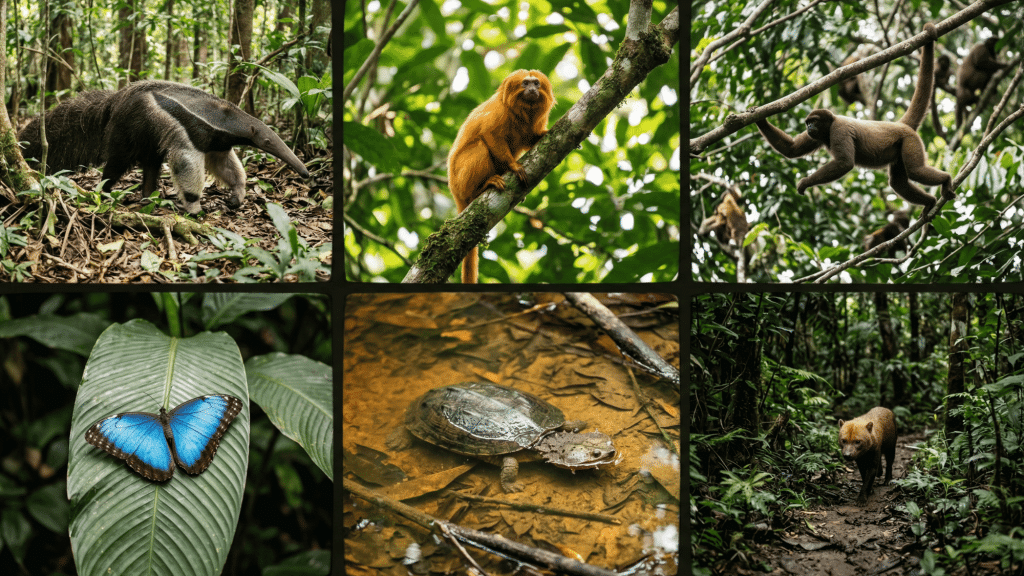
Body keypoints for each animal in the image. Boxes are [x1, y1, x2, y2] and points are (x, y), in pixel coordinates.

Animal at [447, 69, 554, 283]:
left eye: (536, 84)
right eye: (525, 83)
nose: (532, 90)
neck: (521, 111)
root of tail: (455, 192)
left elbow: (530, 138)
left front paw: (544, 134)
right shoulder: (499, 112)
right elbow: (490, 134)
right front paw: (513, 166)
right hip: (460, 178)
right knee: (480, 146)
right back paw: (482, 187)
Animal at [754, 23, 953, 218]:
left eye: (814, 121)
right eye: (807, 123)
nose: (810, 127)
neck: (831, 124)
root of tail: (900, 124)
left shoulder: (839, 129)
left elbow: (844, 163)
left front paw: (805, 182)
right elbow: (792, 148)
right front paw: (759, 118)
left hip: (910, 140)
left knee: (916, 171)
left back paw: (946, 180)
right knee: (899, 183)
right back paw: (930, 202)